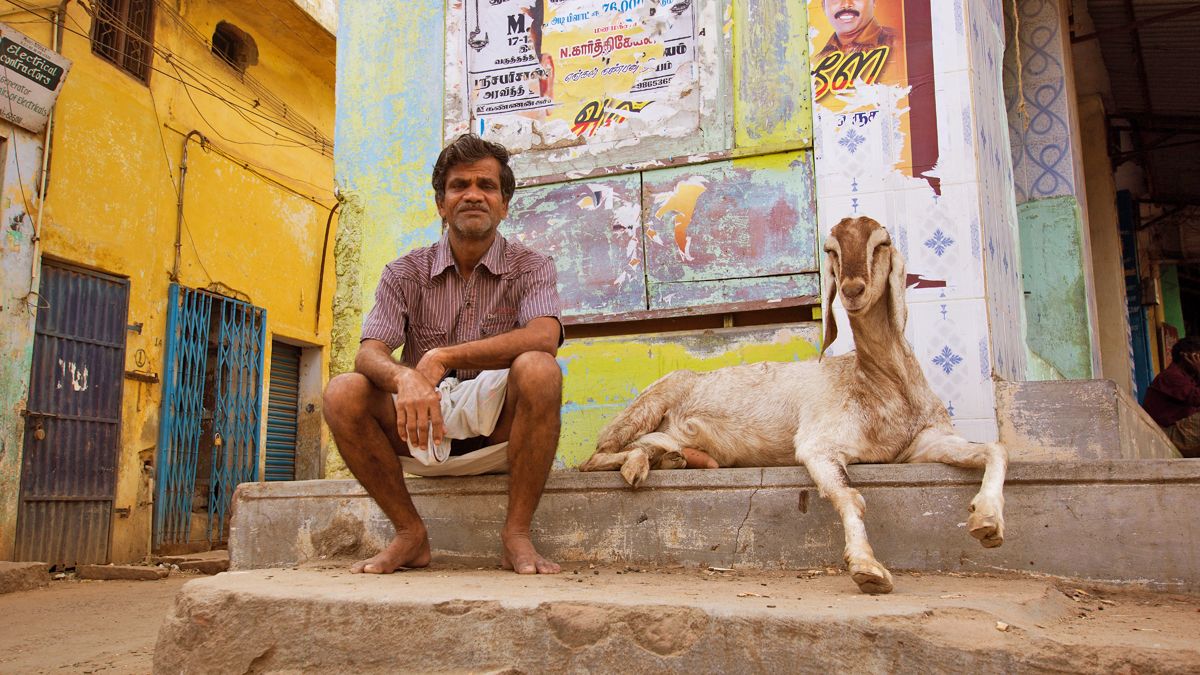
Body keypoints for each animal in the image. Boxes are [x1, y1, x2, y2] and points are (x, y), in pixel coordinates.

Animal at [576, 216, 1008, 593]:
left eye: (881, 243)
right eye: (831, 249)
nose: (852, 289)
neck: (878, 385)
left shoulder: (923, 443)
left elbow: (995, 448)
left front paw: (987, 523)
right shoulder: (817, 443)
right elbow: (851, 496)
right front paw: (868, 569)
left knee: (647, 447)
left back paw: (676, 459)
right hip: (648, 404)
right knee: (594, 458)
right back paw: (640, 464)